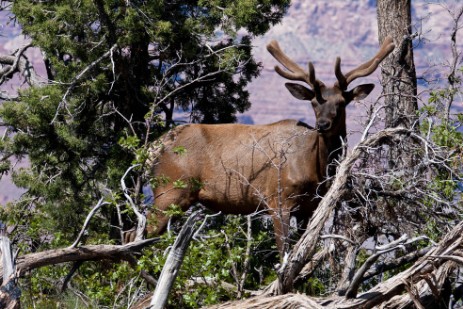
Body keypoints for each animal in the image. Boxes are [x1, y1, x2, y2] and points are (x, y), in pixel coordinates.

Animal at [141, 36, 396, 253]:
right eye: (314, 102)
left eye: (342, 103)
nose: (322, 124)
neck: (315, 169)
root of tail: (153, 148)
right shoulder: (278, 199)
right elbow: (283, 252)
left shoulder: (310, 207)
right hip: (170, 190)